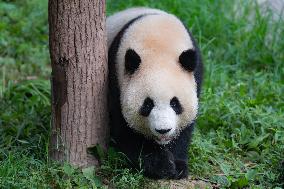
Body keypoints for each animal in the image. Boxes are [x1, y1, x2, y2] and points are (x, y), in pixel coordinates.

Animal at [106, 7, 202, 179]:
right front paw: (161, 165)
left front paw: (178, 166)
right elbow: (126, 130)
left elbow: (185, 130)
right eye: (147, 105)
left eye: (175, 103)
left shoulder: (196, 75)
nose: (163, 130)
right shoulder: (115, 78)